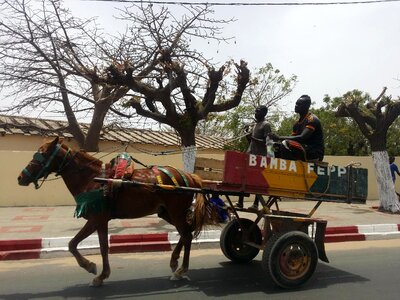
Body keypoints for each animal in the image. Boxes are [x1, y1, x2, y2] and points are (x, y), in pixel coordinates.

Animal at [17, 137, 217, 286]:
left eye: (42, 155)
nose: (20, 177)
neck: (93, 179)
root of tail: (189, 176)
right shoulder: (101, 221)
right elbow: (103, 247)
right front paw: (101, 275)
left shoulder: (95, 219)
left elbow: (73, 244)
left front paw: (90, 267)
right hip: (166, 213)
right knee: (186, 233)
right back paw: (175, 262)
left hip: (176, 212)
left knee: (187, 235)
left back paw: (181, 270)